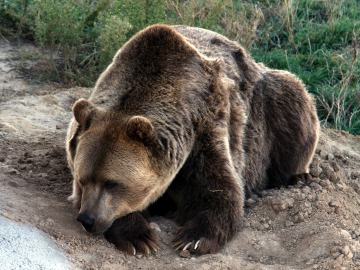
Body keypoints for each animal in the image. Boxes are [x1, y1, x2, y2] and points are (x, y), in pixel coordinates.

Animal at [66, 24, 320, 255]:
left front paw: (193, 239)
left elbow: (218, 190)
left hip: (269, 104)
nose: (87, 219)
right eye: (82, 179)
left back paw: (299, 176)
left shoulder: (205, 128)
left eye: (112, 182)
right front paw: (139, 237)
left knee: (293, 99)